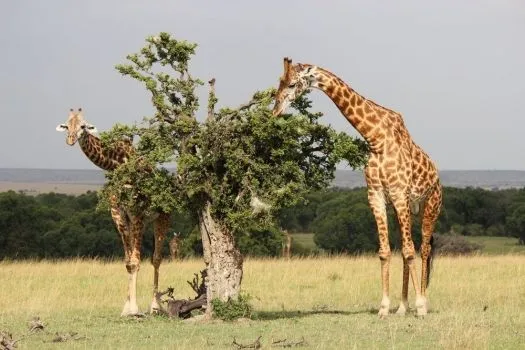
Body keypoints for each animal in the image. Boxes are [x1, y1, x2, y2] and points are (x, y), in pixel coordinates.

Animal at [57, 108, 172, 316]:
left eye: (83, 126)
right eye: (67, 125)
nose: (70, 139)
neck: (117, 163)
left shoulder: (136, 213)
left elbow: (136, 261)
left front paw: (134, 309)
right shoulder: (118, 215)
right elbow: (128, 262)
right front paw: (127, 308)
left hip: (162, 218)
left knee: (157, 258)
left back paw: (155, 306)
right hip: (141, 223)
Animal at [272, 58, 440, 318]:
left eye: (291, 84)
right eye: (278, 83)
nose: (275, 111)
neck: (376, 139)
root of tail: (438, 178)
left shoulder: (398, 192)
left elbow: (411, 250)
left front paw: (420, 307)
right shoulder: (377, 196)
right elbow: (385, 251)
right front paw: (384, 307)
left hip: (430, 204)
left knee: (423, 249)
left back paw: (422, 303)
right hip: (407, 208)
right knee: (409, 248)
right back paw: (402, 307)